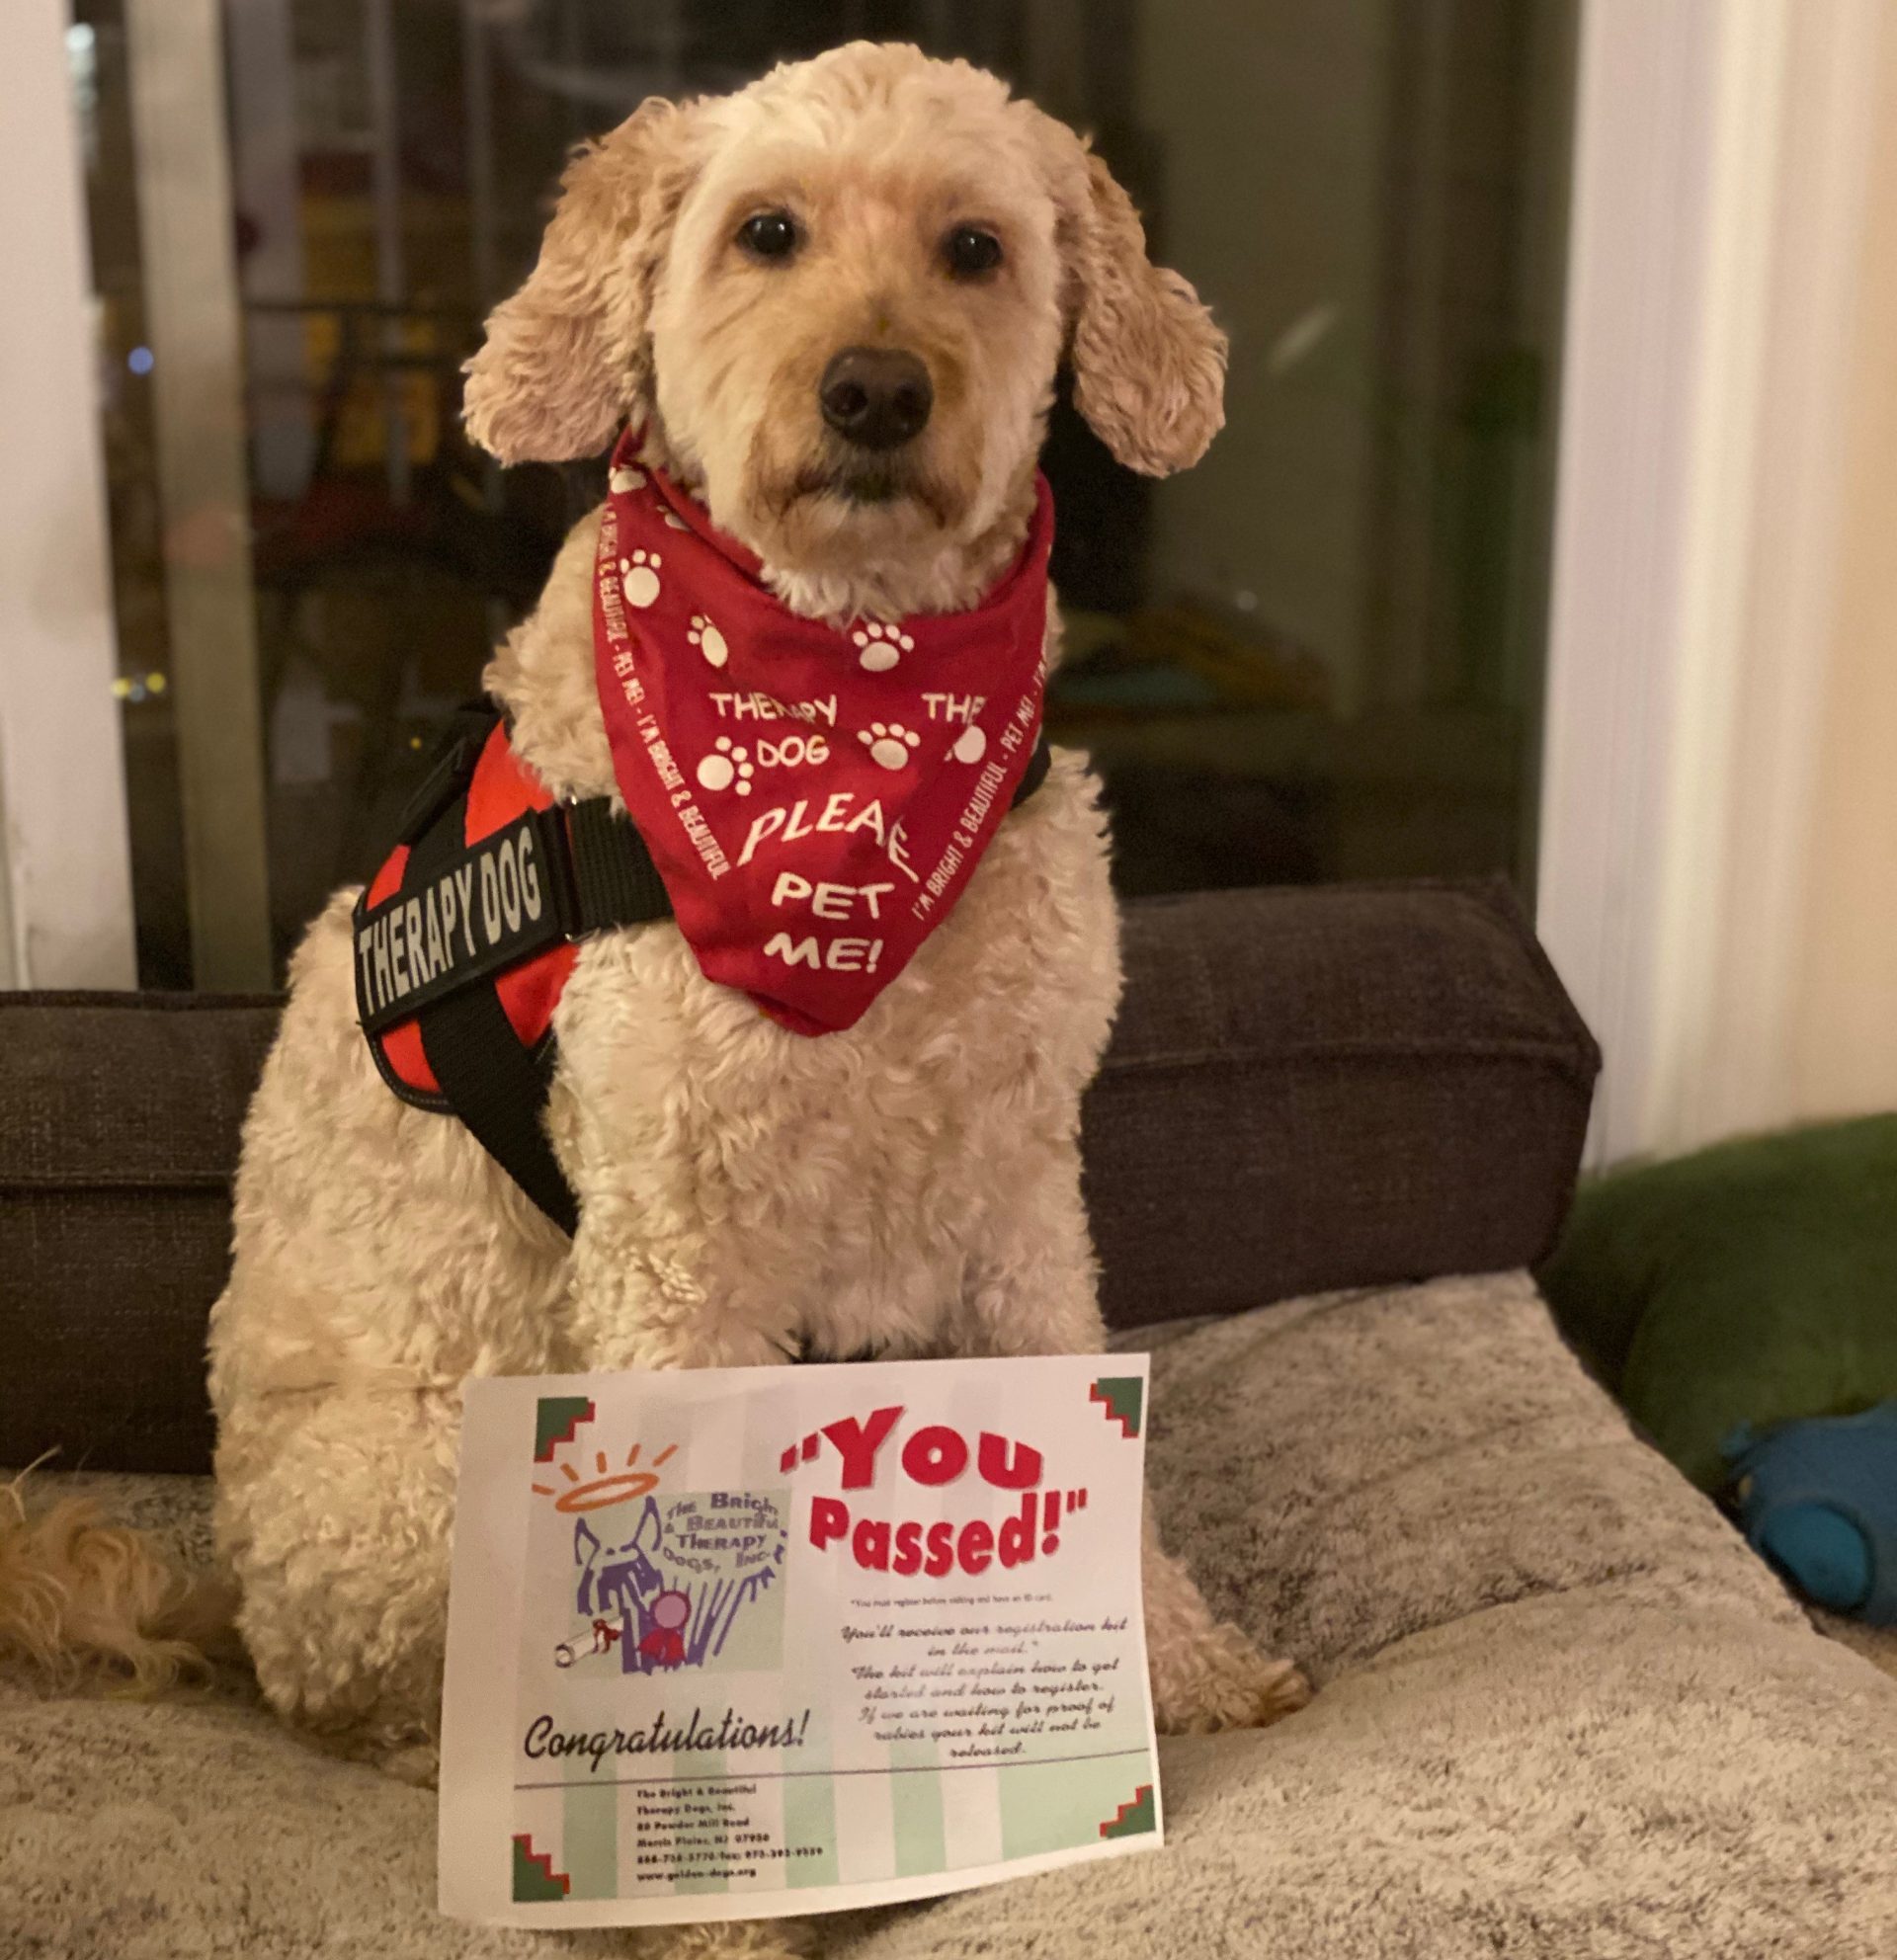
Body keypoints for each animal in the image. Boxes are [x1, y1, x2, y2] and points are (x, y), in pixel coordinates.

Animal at [204, 38, 1301, 1952]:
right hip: (421, 1491)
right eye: (767, 231)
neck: (844, 710)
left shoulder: (1020, 1204)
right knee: (364, 1705)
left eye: (974, 248)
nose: (872, 389)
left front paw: (1177, 1664)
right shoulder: (671, 1257)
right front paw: (718, 1902)